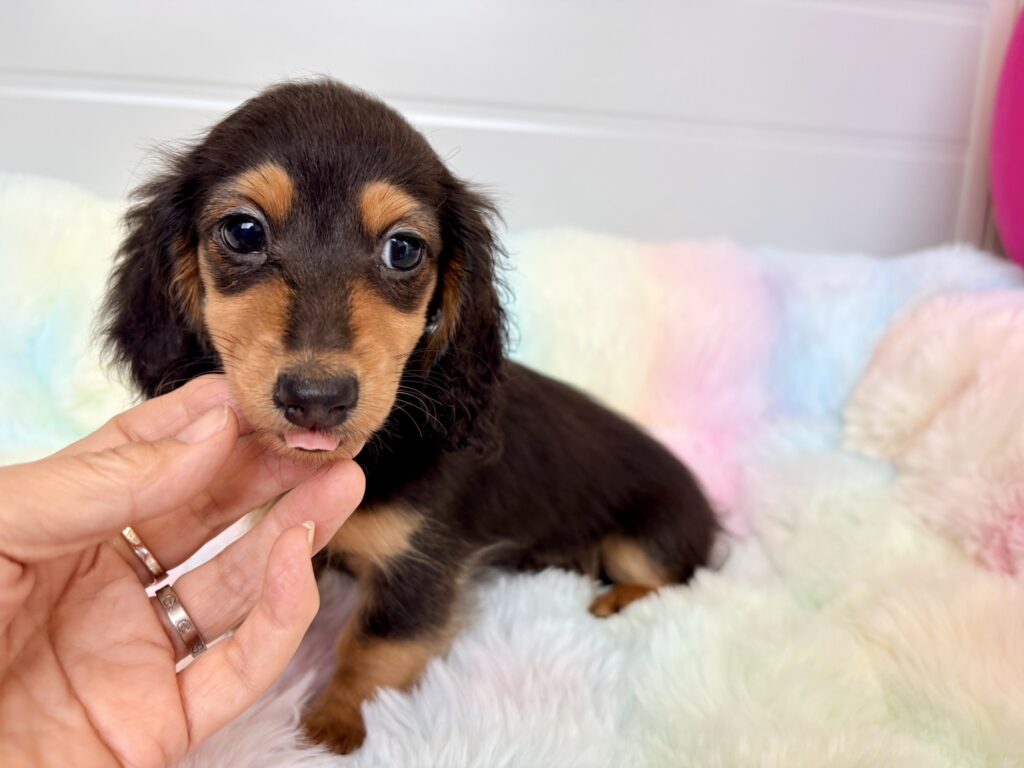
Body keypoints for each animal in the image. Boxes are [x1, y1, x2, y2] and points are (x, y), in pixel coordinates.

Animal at [103, 79, 718, 753]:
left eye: (403, 249)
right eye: (242, 232)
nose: (316, 398)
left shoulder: (420, 566)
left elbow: (375, 647)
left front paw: (328, 729)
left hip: (645, 541)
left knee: (672, 577)